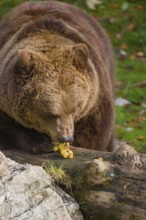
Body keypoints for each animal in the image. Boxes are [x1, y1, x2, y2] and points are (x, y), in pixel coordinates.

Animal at [0, 0, 114, 154]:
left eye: (75, 108)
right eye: (50, 114)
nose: (66, 138)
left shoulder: (96, 99)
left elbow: (94, 133)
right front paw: (40, 142)